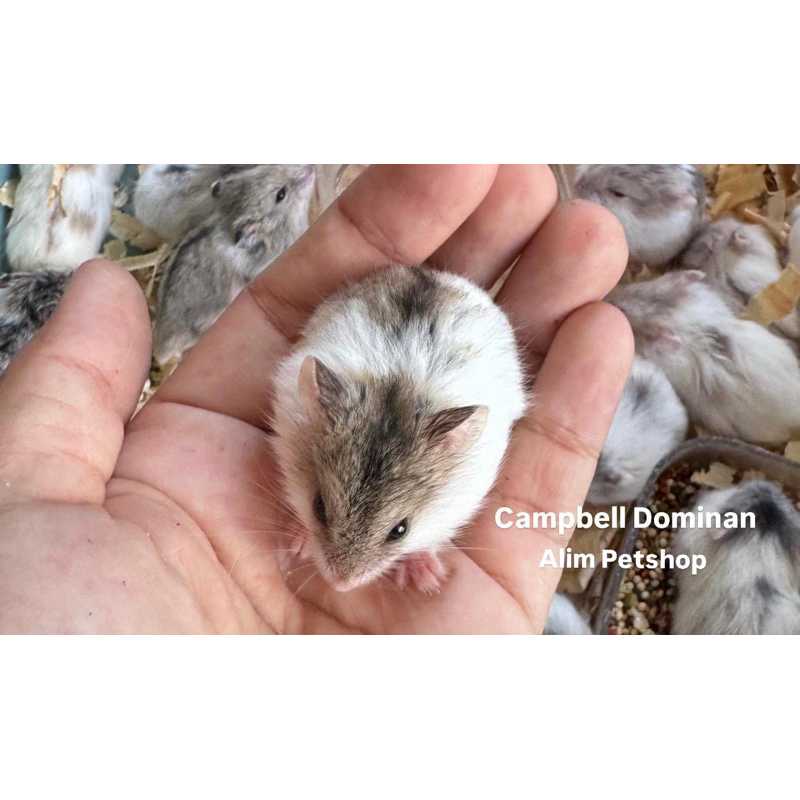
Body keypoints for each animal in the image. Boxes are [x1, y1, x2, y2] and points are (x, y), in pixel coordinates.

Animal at [271, 265, 526, 594]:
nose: (340, 585)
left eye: (400, 530)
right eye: (318, 507)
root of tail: (430, 273)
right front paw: (296, 544)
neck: (399, 385)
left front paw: (428, 581)